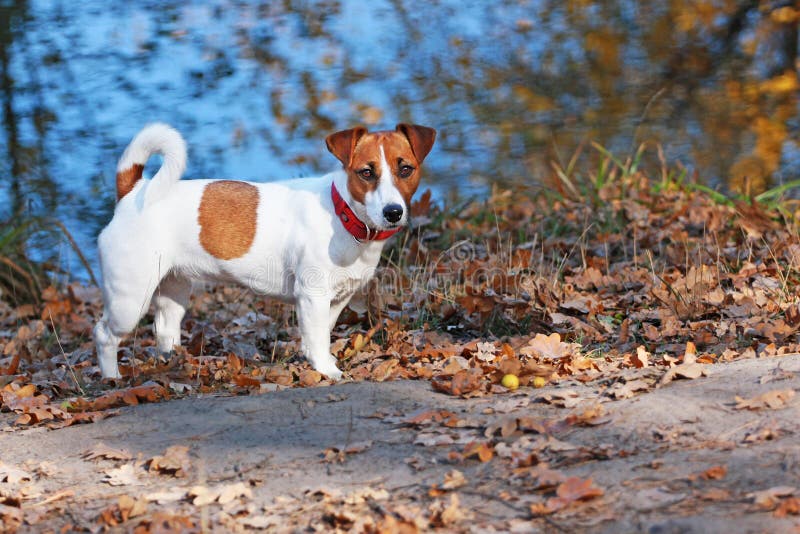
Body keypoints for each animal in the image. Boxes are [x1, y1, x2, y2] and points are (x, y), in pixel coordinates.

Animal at [94, 122, 438, 382]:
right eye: (366, 172)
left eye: (405, 169)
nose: (393, 212)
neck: (342, 213)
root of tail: (134, 191)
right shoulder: (312, 295)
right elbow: (318, 337)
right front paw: (327, 370)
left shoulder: (336, 299)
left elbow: (319, 333)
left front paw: (318, 360)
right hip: (129, 299)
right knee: (104, 334)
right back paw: (112, 377)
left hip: (174, 290)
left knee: (164, 329)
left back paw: (175, 363)